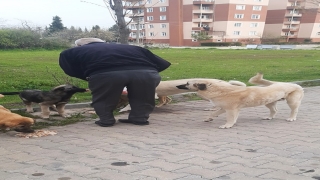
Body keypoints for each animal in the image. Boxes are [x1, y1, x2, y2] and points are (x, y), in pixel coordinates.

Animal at [176, 73, 304, 129]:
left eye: (187, 83)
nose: (177, 86)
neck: (218, 89)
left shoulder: (231, 110)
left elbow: (230, 119)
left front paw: (227, 125)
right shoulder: (224, 108)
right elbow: (213, 113)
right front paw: (209, 118)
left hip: (292, 101)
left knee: (295, 110)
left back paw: (291, 118)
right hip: (269, 103)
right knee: (274, 110)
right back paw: (269, 117)